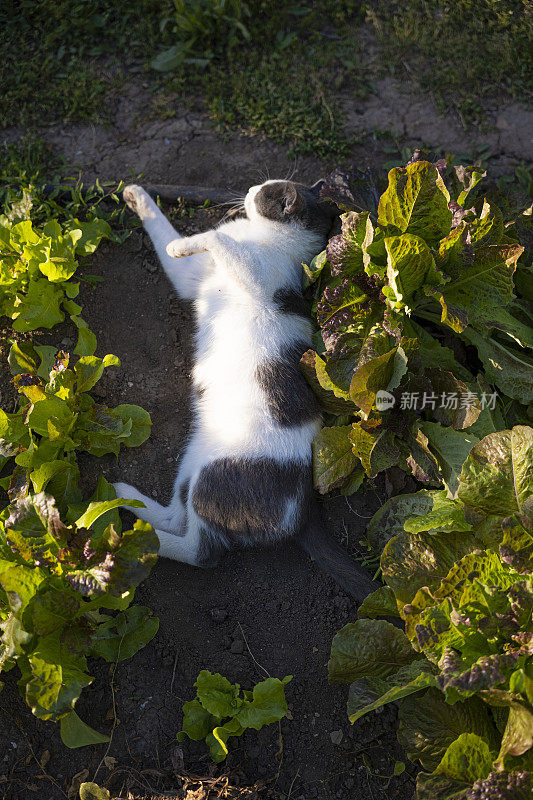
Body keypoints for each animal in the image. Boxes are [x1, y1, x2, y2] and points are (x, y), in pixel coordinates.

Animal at [114, 177, 376, 600]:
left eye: (267, 192)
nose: (252, 187)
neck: (265, 239)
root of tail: (304, 510)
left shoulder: (254, 272)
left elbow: (216, 238)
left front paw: (188, 241)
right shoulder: (193, 276)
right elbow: (166, 231)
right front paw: (137, 196)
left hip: (215, 477)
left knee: (202, 552)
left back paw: (141, 544)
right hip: (193, 460)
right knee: (176, 516)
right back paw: (126, 499)